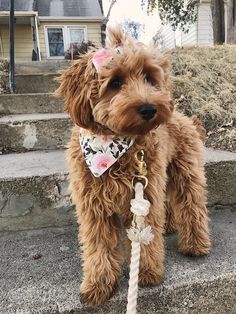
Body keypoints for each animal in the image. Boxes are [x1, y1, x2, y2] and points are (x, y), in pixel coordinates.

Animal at [54, 26, 210, 306]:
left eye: (149, 77)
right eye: (115, 82)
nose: (149, 108)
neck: (113, 144)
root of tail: (185, 117)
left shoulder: (143, 195)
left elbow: (145, 232)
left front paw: (146, 272)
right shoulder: (93, 203)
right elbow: (98, 244)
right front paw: (98, 284)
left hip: (185, 171)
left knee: (191, 204)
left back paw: (196, 245)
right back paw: (170, 227)